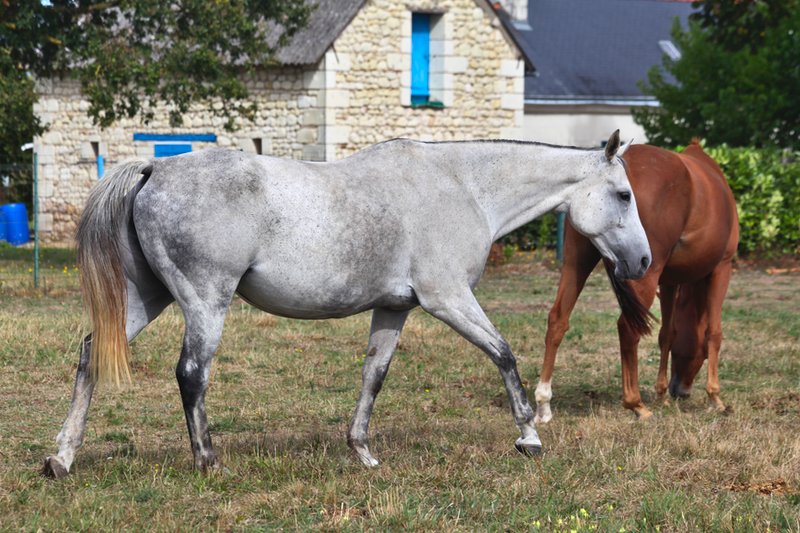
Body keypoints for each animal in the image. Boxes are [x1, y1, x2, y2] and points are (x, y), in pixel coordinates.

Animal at [42, 131, 651, 479]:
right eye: (624, 194)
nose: (643, 261)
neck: (462, 186)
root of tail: (155, 169)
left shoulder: (395, 309)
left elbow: (372, 377)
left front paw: (362, 453)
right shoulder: (448, 298)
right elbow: (504, 354)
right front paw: (529, 436)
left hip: (148, 298)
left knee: (91, 356)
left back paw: (62, 459)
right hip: (204, 302)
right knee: (191, 373)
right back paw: (208, 463)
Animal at [533, 141, 739, 422]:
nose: (679, 391)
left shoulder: (670, 280)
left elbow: (667, 333)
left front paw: (661, 394)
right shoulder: (721, 268)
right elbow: (713, 332)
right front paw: (715, 397)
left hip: (577, 263)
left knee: (558, 320)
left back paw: (543, 403)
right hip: (644, 271)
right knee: (627, 329)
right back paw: (635, 403)